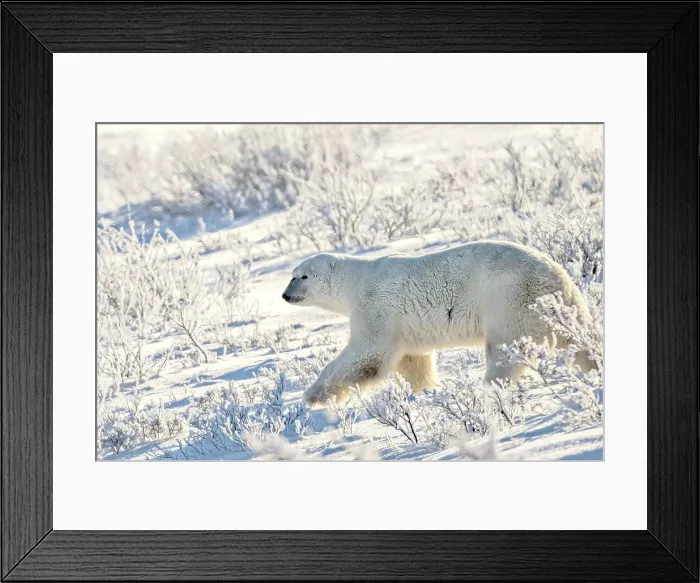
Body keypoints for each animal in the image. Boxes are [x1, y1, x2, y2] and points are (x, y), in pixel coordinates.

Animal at [282, 240, 594, 409]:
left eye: (303, 276)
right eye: (292, 275)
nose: (285, 295)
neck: (357, 282)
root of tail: (557, 277)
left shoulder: (376, 309)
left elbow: (366, 356)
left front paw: (312, 395)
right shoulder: (404, 328)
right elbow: (413, 362)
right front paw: (424, 391)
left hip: (508, 299)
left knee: (504, 351)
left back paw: (487, 389)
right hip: (561, 306)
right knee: (580, 341)